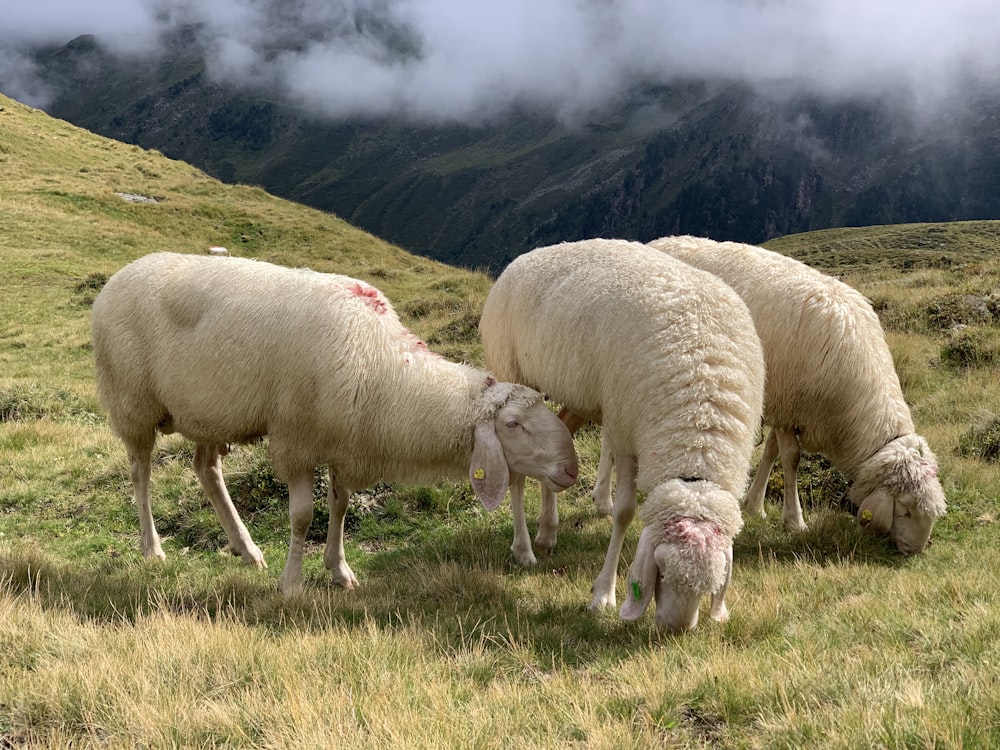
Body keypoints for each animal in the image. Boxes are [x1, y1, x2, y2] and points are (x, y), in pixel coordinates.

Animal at [94, 253, 584, 592]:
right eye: (513, 424)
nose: (570, 469)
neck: (384, 367)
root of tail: (117, 277)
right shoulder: (296, 440)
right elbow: (301, 517)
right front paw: (292, 583)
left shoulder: (347, 440)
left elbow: (341, 507)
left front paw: (339, 569)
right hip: (132, 401)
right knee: (140, 473)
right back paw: (153, 549)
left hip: (208, 411)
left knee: (206, 469)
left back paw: (246, 548)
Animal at [478, 238, 764, 632]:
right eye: (661, 569)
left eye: (712, 583)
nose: (674, 629)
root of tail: (526, 256)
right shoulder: (626, 432)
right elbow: (626, 512)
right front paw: (603, 594)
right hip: (513, 371)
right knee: (517, 475)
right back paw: (524, 548)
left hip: (579, 395)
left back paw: (548, 531)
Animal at [592, 238, 944, 556]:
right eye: (906, 509)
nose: (915, 551)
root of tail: (656, 242)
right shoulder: (790, 405)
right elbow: (791, 458)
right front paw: (794, 520)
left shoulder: (781, 404)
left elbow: (771, 450)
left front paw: (755, 504)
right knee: (610, 437)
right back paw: (602, 499)